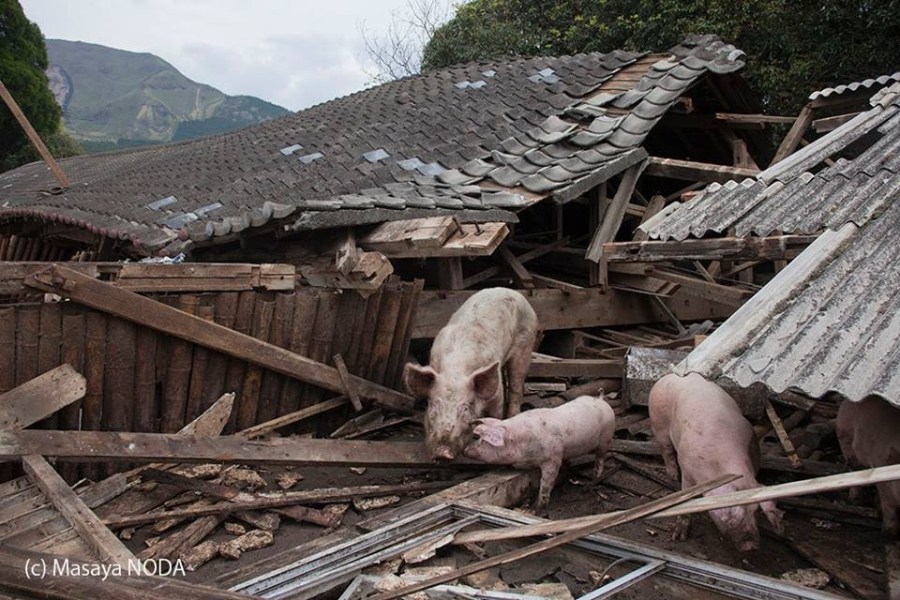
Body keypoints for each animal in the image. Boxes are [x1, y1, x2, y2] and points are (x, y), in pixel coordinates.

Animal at [404, 288, 536, 462]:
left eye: (466, 408)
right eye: (434, 405)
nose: (443, 452)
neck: (456, 369)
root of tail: (511, 291)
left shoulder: (496, 397)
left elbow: (495, 415)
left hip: (526, 344)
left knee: (516, 385)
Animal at [464, 396, 612, 508]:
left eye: (479, 438)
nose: (465, 450)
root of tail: (601, 400)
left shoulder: (552, 458)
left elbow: (546, 482)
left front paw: (535, 508)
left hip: (606, 438)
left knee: (600, 458)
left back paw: (594, 478)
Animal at [648, 372, 780, 552]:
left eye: (754, 511)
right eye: (729, 517)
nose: (750, 546)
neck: (719, 463)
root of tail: (670, 376)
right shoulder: (687, 470)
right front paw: (679, 537)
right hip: (658, 425)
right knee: (666, 450)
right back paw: (672, 476)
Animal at [836, 398, 900, 536]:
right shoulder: (883, 480)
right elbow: (889, 505)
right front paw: (888, 532)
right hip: (845, 437)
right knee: (853, 469)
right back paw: (855, 501)